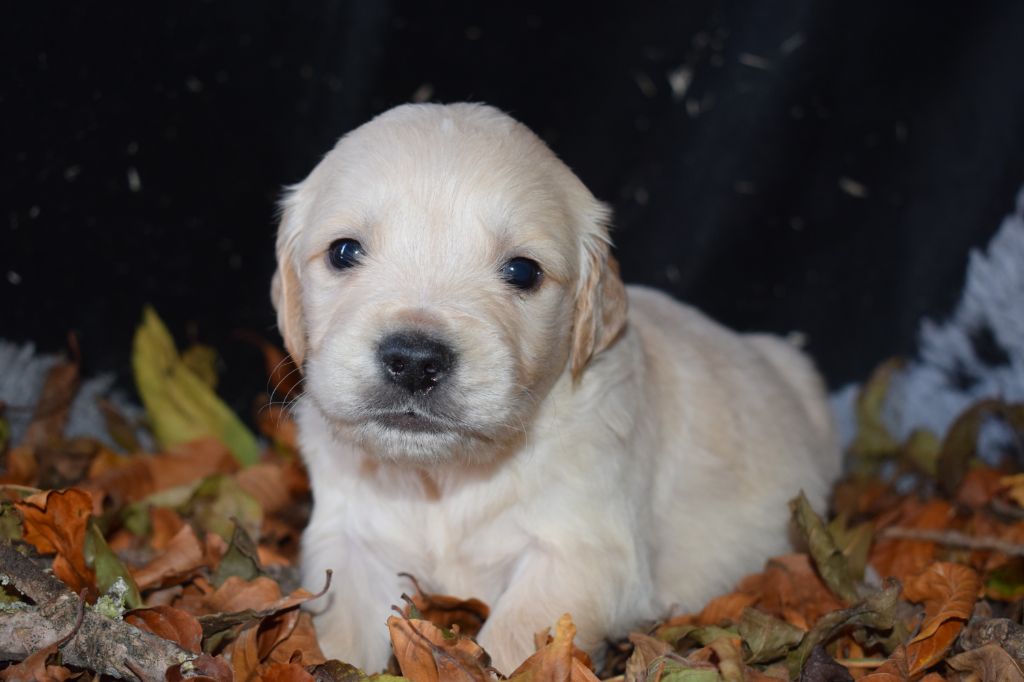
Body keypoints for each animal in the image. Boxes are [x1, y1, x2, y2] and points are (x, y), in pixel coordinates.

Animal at [272, 100, 839, 667]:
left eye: (523, 271)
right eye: (344, 252)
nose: (414, 362)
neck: (447, 479)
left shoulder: (581, 554)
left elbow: (514, 642)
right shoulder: (348, 539)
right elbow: (338, 634)